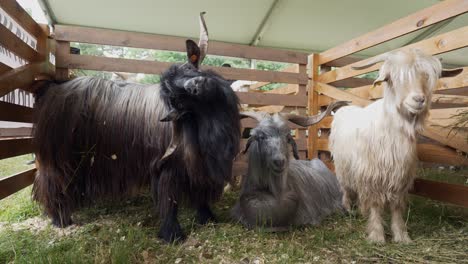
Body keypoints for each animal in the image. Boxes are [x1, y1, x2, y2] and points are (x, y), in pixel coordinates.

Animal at [31, 13, 239, 242]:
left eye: (189, 68)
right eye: (177, 99)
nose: (194, 85)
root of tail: (52, 89)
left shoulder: (198, 168)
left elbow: (199, 194)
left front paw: (208, 217)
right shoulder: (167, 166)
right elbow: (170, 199)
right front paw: (172, 233)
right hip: (57, 156)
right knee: (51, 182)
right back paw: (60, 219)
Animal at [330, 49, 460, 243]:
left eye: (427, 76)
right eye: (393, 77)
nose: (418, 99)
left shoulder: (401, 175)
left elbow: (397, 206)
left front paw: (401, 236)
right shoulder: (372, 173)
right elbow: (375, 204)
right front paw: (377, 236)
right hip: (342, 165)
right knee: (345, 187)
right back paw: (348, 209)